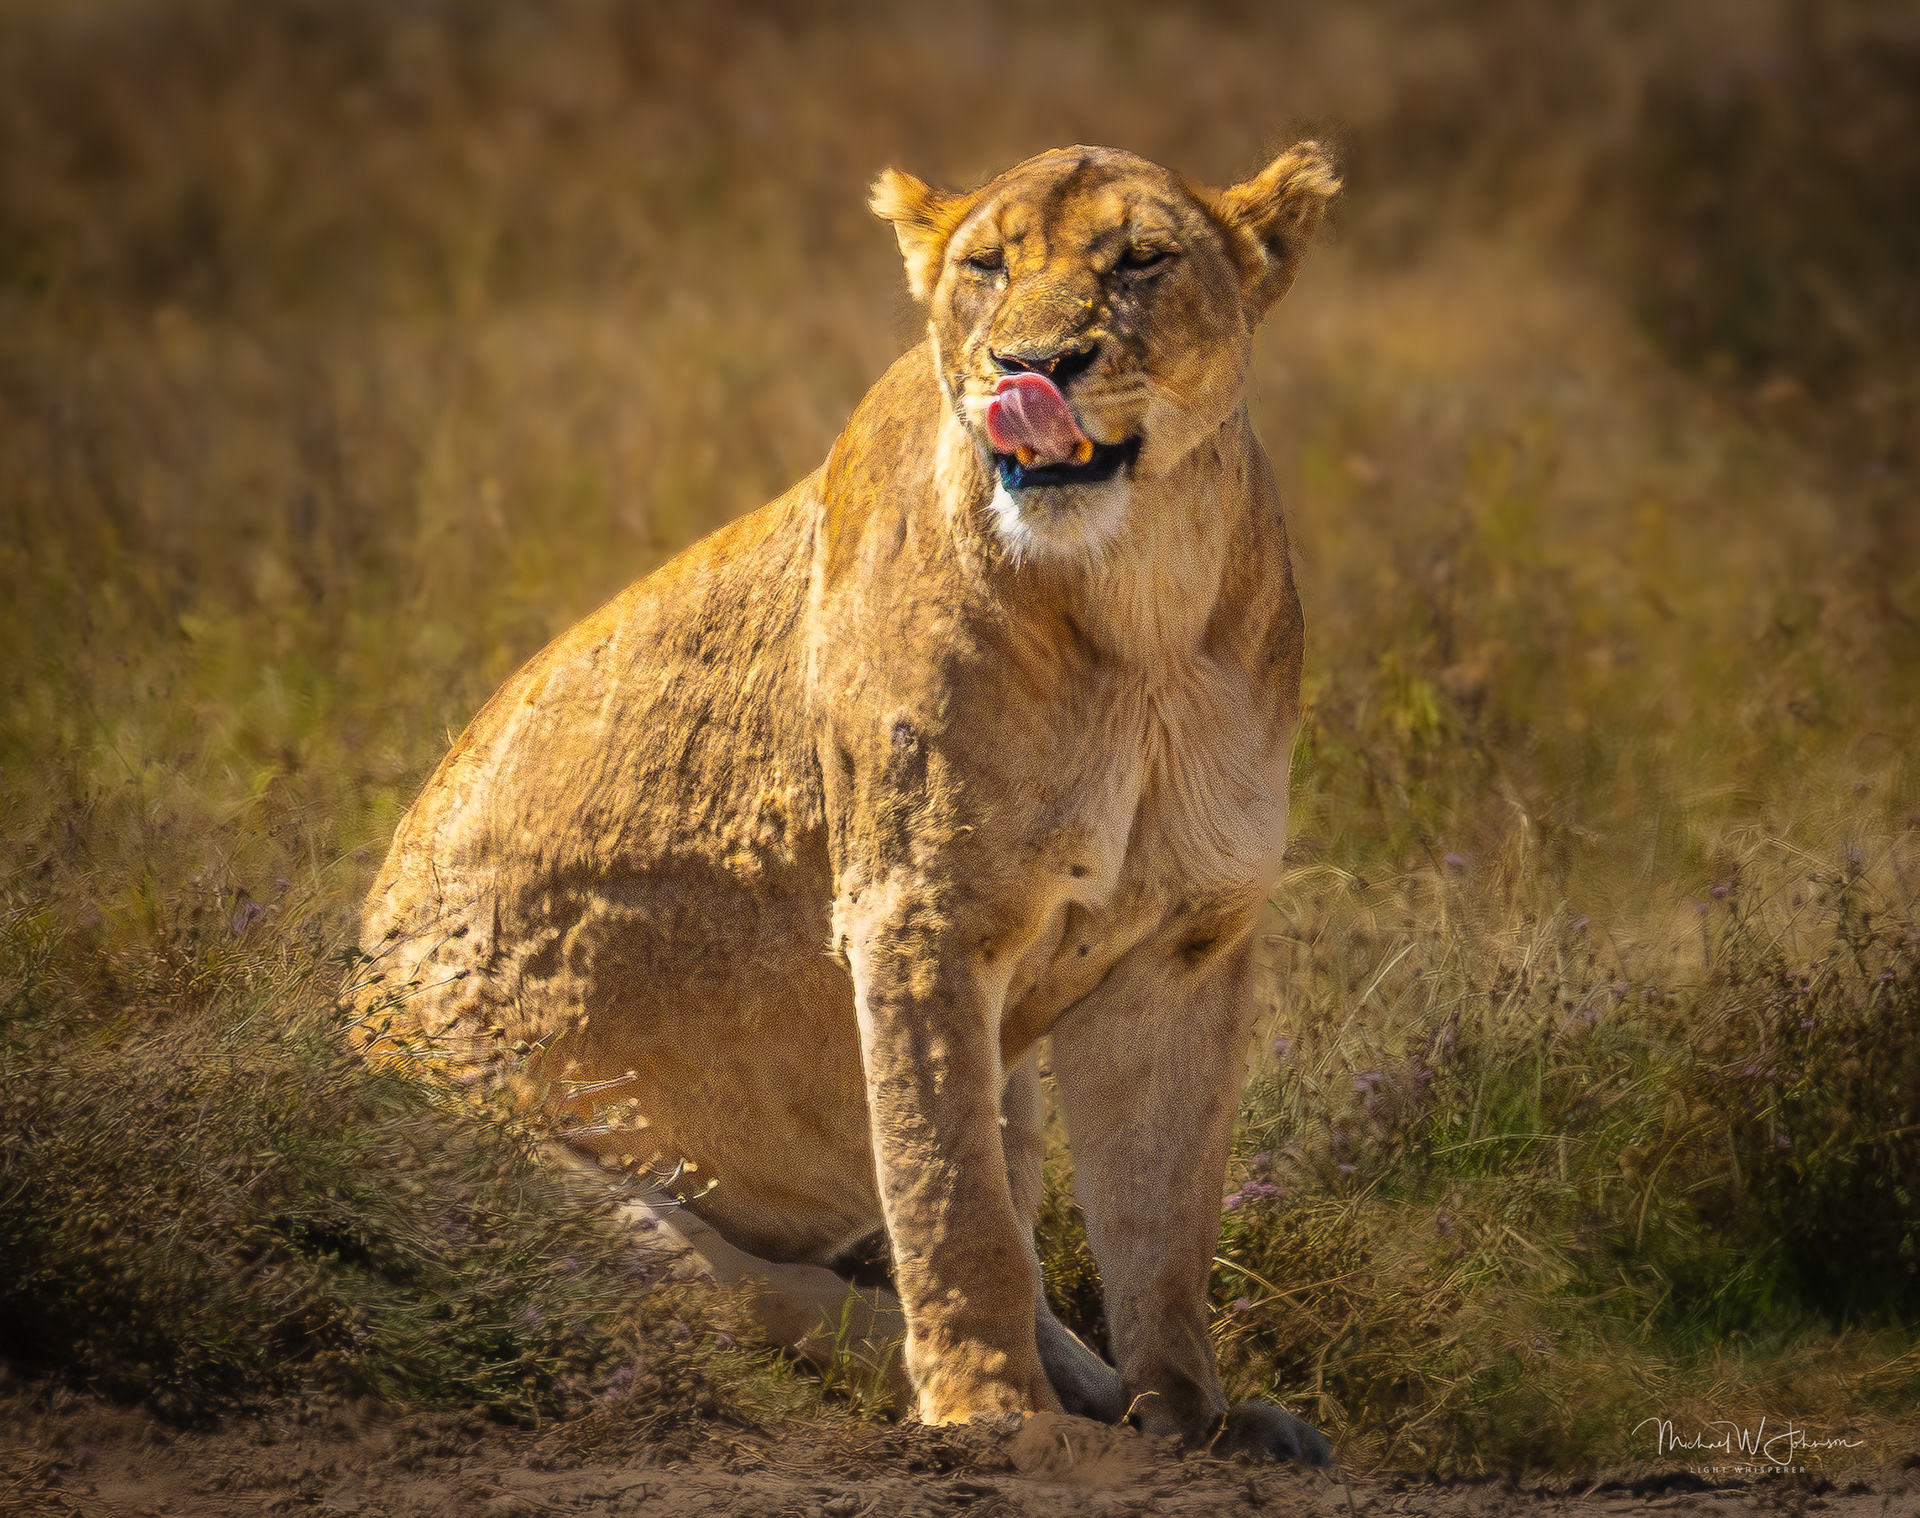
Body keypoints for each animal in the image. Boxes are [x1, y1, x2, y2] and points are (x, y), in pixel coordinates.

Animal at [358, 141, 1338, 1463]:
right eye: (987, 268)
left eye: (1142, 259)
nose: (1030, 369)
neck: (1138, 606)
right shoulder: (916, 910)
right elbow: (950, 1199)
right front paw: (993, 1414)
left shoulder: (1188, 941)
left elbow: (1165, 1223)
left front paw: (1195, 1421)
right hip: (556, 1193)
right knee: (734, 1294)